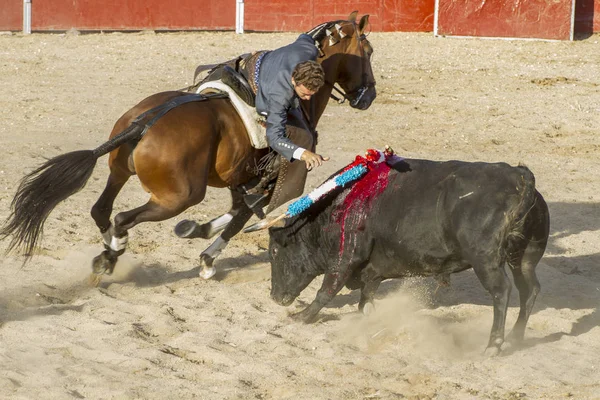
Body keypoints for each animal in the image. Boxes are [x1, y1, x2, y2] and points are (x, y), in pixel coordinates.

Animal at [0, 11, 376, 282]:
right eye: (369, 51)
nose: (368, 96)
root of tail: (144, 123)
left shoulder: (242, 179)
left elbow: (239, 210)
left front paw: (199, 233)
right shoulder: (267, 179)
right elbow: (243, 215)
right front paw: (207, 257)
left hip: (119, 171)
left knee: (101, 210)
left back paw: (108, 253)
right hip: (181, 196)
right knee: (122, 218)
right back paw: (111, 255)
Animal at [266, 158, 548, 354]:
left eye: (274, 251)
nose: (275, 297)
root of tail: (519, 177)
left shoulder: (346, 257)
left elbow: (327, 290)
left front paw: (302, 317)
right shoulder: (371, 271)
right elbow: (366, 298)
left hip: (486, 261)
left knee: (502, 292)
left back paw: (494, 345)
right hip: (524, 257)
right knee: (530, 289)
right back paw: (516, 337)